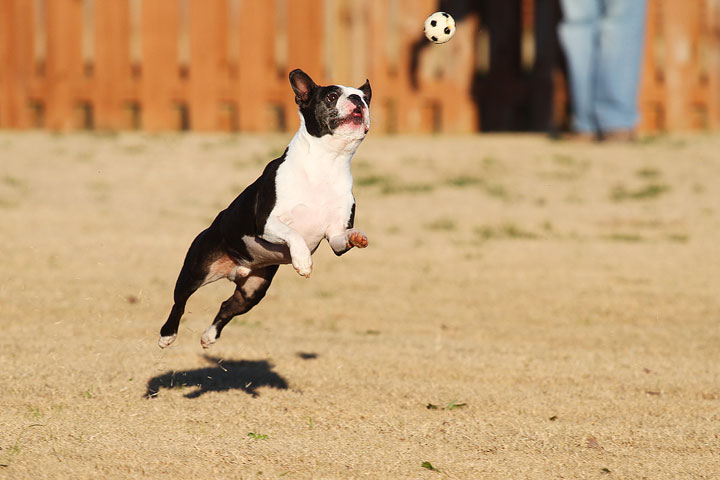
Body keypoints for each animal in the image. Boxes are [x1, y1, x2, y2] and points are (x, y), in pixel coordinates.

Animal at [158, 68, 372, 348]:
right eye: (332, 96)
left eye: (366, 99)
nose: (358, 100)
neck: (327, 163)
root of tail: (237, 269)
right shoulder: (266, 222)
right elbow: (294, 234)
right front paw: (303, 261)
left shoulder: (335, 235)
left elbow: (343, 237)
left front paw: (357, 235)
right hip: (197, 269)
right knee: (180, 301)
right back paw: (167, 334)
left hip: (253, 289)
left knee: (227, 306)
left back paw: (209, 337)